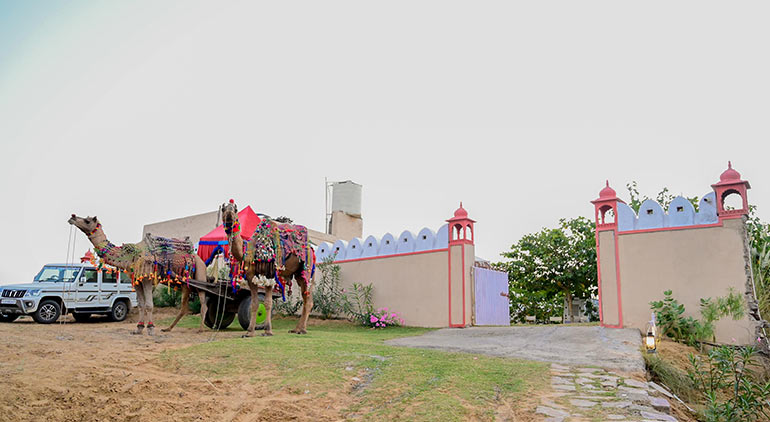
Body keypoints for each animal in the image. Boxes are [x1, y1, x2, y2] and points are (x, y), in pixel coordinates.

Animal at [66, 216, 208, 334]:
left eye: (87, 220)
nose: (72, 217)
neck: (130, 256)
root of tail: (197, 257)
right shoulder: (136, 281)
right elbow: (140, 305)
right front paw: (139, 328)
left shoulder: (147, 278)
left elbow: (149, 305)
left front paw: (150, 328)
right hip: (185, 284)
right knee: (184, 307)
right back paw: (168, 328)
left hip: (200, 273)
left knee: (203, 300)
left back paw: (200, 329)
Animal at [218, 200, 314, 336]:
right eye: (223, 209)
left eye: (235, 209)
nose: (229, 215)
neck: (251, 251)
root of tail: (312, 249)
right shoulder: (250, 277)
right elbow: (254, 303)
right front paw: (249, 332)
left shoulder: (270, 274)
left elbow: (268, 303)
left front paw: (268, 331)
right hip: (298, 274)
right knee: (305, 297)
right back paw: (296, 329)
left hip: (306, 269)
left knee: (308, 299)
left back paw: (302, 330)